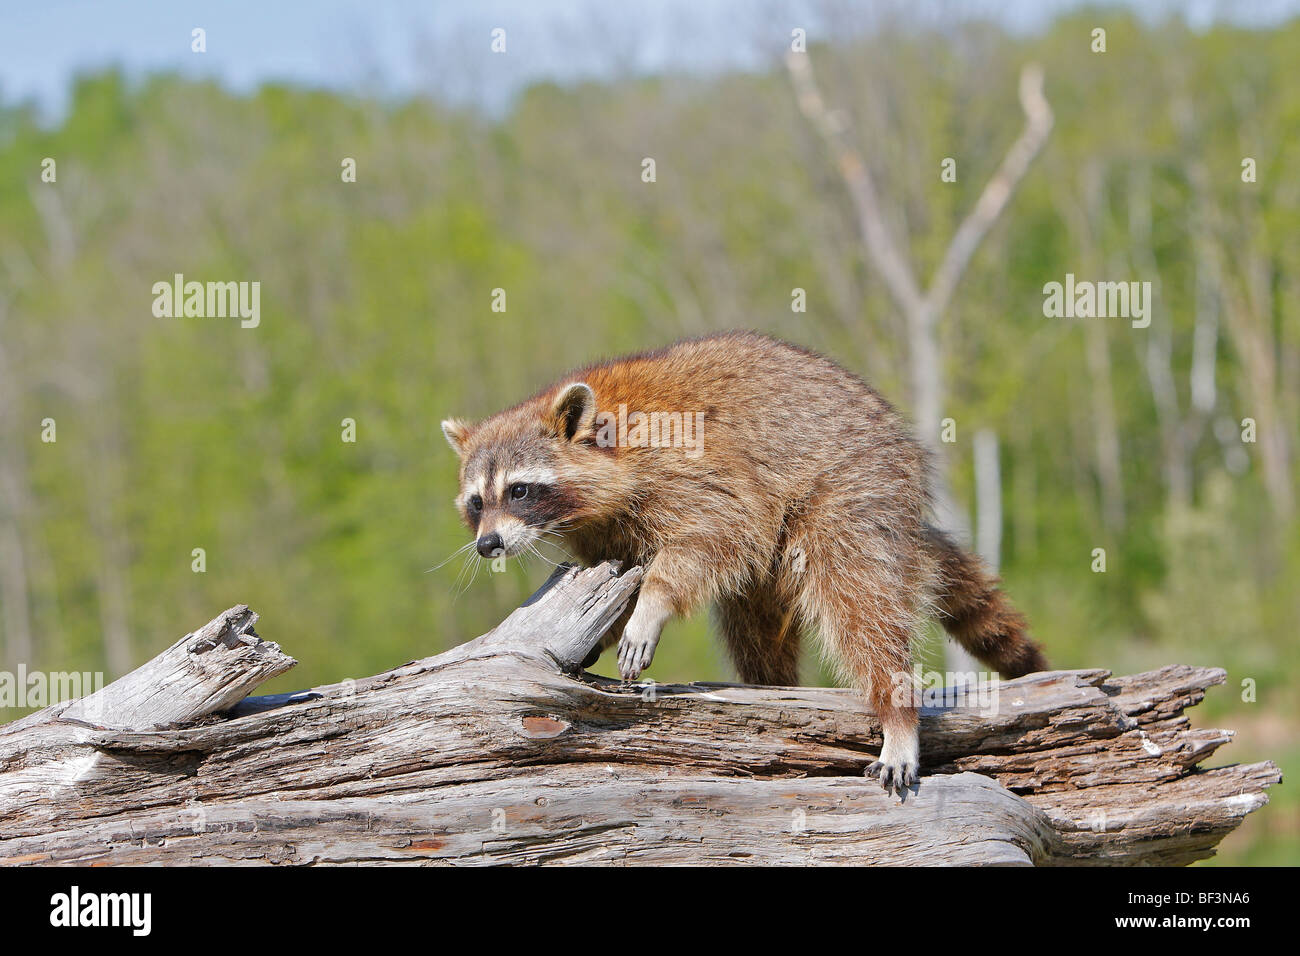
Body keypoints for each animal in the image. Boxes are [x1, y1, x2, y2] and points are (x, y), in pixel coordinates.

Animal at [441, 329, 1050, 790]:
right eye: (477, 502)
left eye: (519, 490)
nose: (488, 545)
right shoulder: (604, 531)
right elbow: (622, 567)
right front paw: (604, 629)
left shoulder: (692, 466)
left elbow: (712, 534)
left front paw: (653, 602)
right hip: (778, 563)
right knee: (754, 624)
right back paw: (771, 684)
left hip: (852, 487)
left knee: (859, 601)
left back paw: (896, 712)